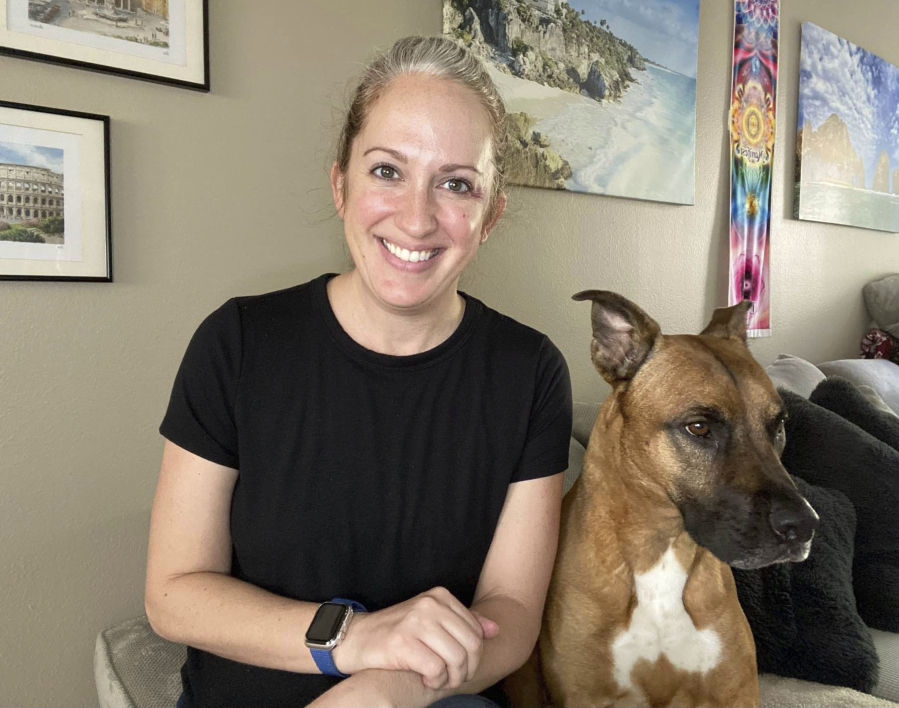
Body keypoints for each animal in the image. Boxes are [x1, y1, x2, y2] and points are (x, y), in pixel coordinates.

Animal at [506, 290, 824, 704]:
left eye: (778, 426)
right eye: (699, 427)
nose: (805, 526)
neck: (662, 548)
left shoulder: (736, 693)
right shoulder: (585, 696)